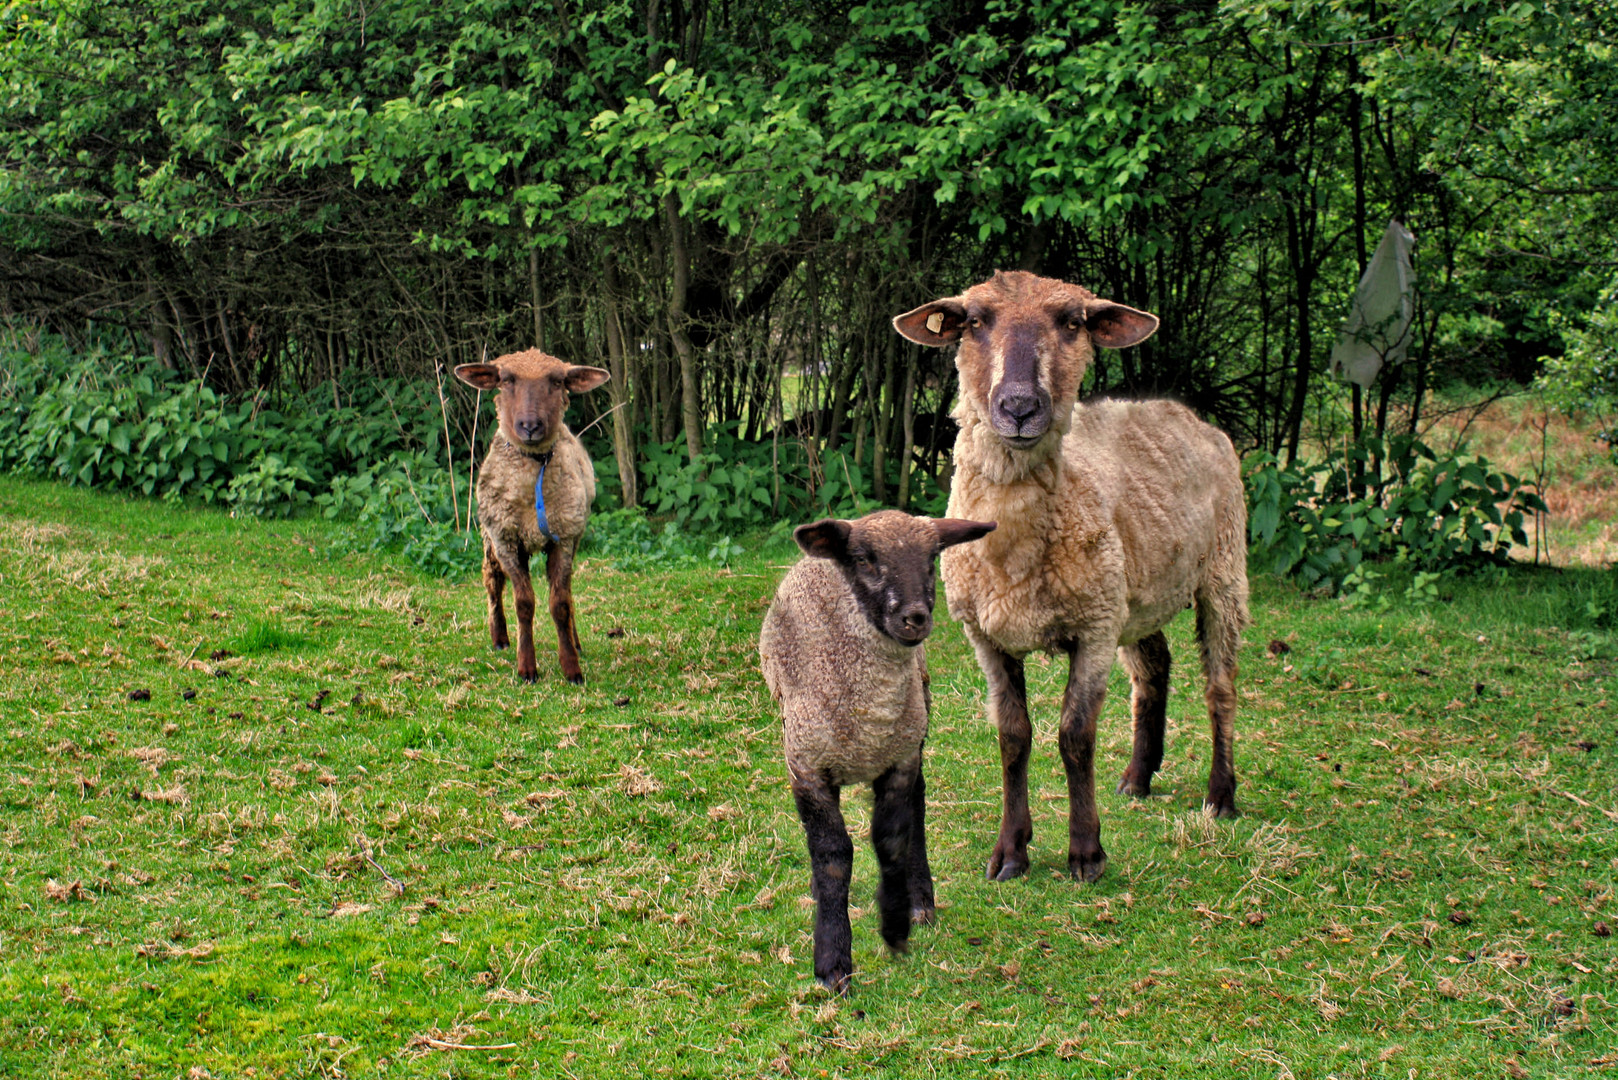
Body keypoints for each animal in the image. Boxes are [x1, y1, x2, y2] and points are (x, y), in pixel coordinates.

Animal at [453, 351, 608, 683]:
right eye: (506, 379)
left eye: (558, 381)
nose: (530, 426)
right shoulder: (506, 540)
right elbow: (523, 603)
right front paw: (527, 667)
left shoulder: (563, 539)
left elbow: (560, 604)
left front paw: (571, 666)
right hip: (490, 540)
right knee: (492, 580)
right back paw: (499, 637)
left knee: (567, 591)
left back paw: (575, 640)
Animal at [760, 511, 996, 990]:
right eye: (864, 559)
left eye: (932, 559)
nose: (915, 618)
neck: (870, 710)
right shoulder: (806, 766)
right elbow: (832, 854)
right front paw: (832, 961)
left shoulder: (899, 758)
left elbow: (891, 838)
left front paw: (896, 923)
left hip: (918, 724)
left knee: (918, 809)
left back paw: (920, 898)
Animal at [899, 270, 1249, 887]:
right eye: (973, 321)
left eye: (1072, 322)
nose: (1018, 406)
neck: (1014, 551)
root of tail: (1183, 412)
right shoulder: (987, 637)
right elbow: (1013, 737)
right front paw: (1011, 851)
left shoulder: (1094, 630)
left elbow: (1075, 737)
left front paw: (1086, 853)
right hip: (1135, 593)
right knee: (1154, 669)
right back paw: (1138, 777)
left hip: (1222, 572)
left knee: (1220, 687)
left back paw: (1220, 795)